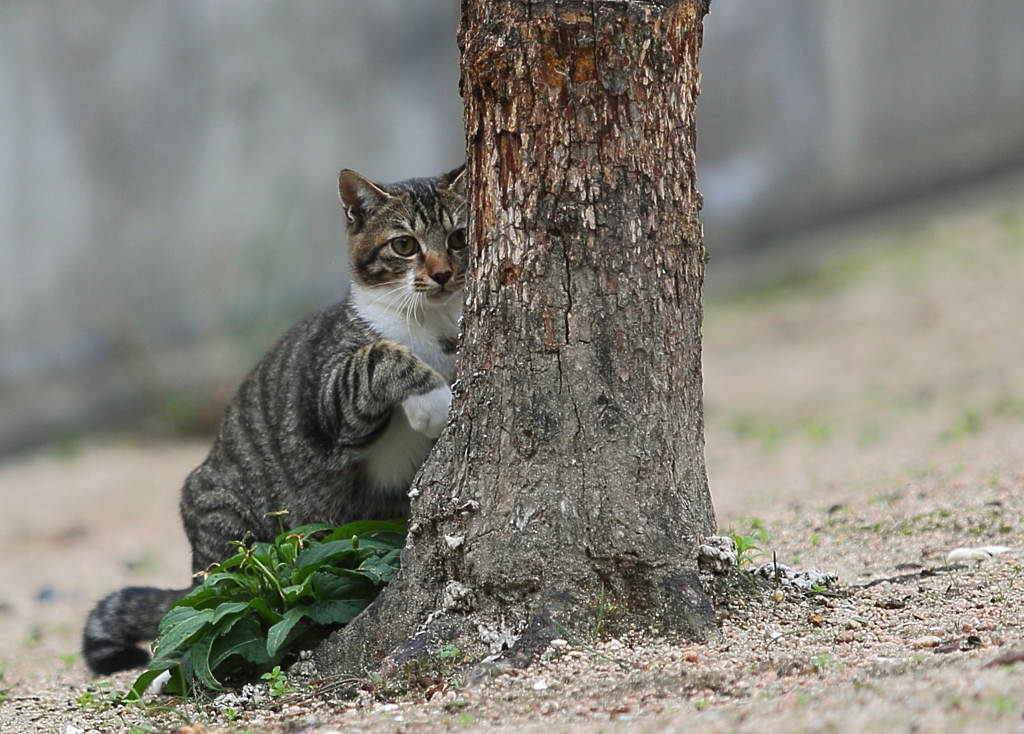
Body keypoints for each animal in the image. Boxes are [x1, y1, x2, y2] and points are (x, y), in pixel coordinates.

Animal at [83, 167, 468, 675]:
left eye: (458, 237)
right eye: (404, 245)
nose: (442, 273)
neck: (430, 324)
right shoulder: (329, 405)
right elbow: (378, 355)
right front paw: (433, 398)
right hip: (225, 525)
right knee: (202, 603)